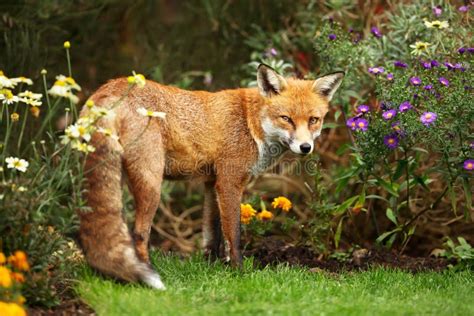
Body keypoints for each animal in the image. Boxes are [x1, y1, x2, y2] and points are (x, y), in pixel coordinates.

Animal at [79, 63, 342, 288]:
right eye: (286, 119)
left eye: (314, 120)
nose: (305, 147)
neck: (251, 123)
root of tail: (109, 88)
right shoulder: (229, 183)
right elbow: (233, 235)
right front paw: (239, 273)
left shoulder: (211, 182)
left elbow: (211, 233)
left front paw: (211, 267)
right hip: (151, 183)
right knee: (139, 234)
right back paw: (148, 274)